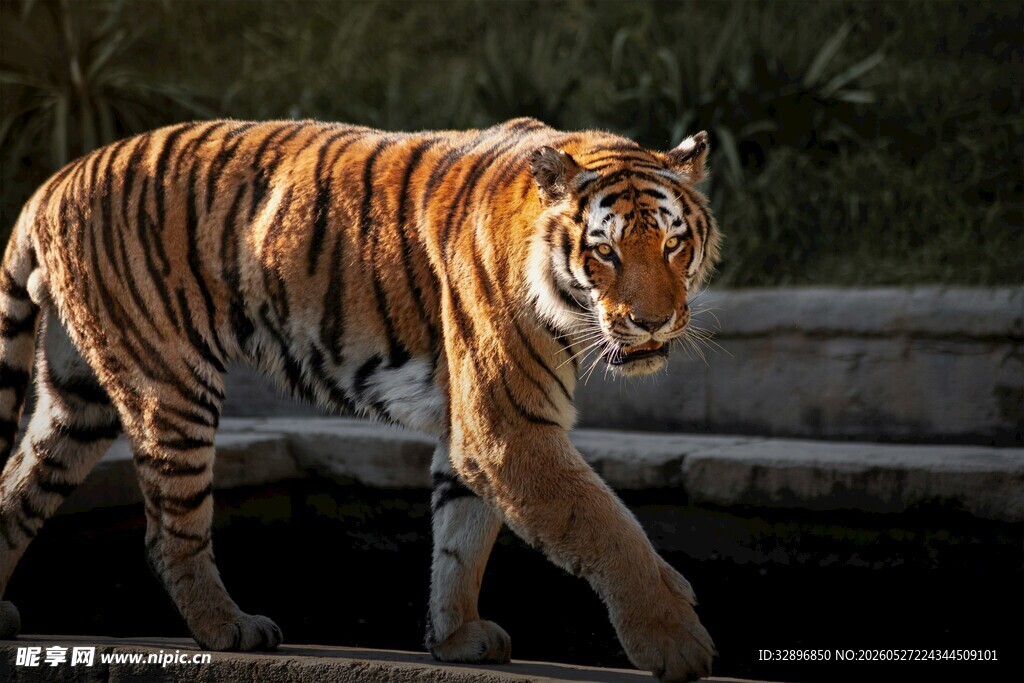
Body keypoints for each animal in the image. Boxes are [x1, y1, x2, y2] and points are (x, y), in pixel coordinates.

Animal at [0, 117, 720, 681]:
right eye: (605, 252)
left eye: (673, 243)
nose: (655, 323)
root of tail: (52, 182)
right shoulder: (506, 427)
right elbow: (607, 526)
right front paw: (675, 641)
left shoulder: (476, 431)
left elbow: (461, 538)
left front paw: (456, 638)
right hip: (169, 384)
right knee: (168, 530)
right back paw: (230, 628)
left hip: (78, 400)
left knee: (19, 485)